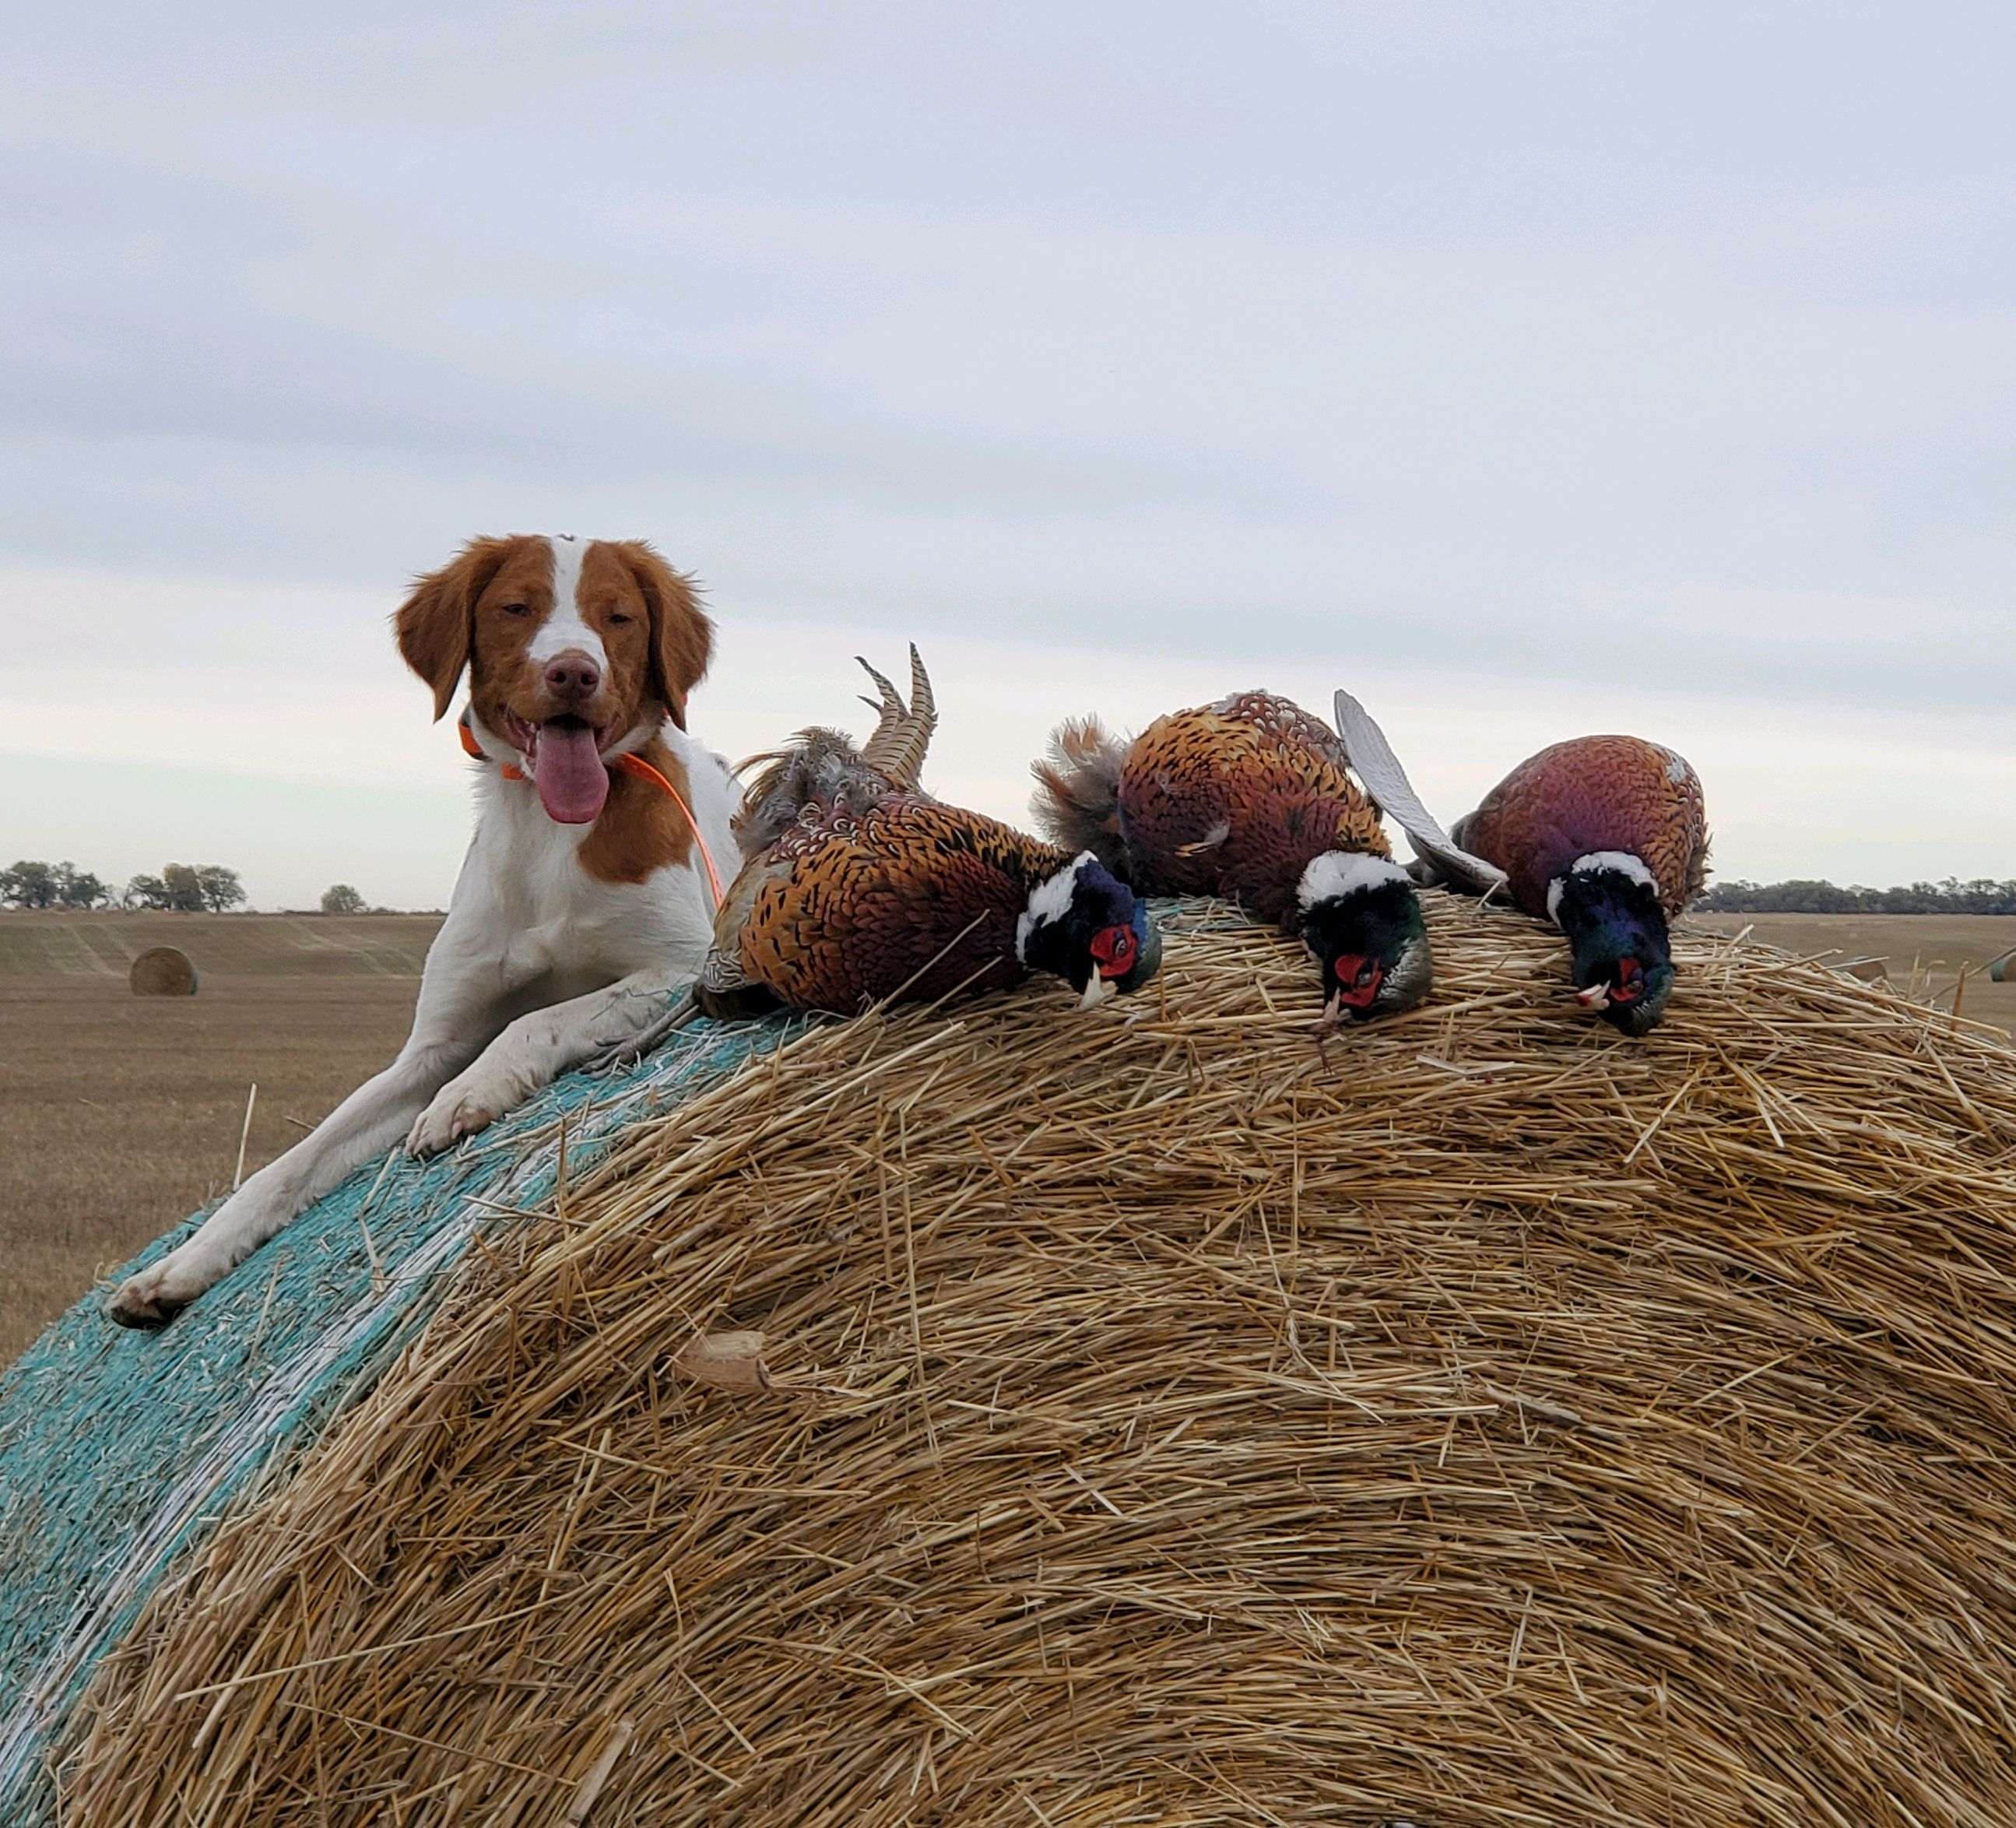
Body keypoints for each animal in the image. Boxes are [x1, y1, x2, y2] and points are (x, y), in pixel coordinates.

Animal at [110, 532, 742, 1330]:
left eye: (619, 616)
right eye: (517, 608)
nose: (574, 672)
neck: (547, 836)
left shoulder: (683, 966)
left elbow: (536, 1020)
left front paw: (465, 1097)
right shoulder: (430, 1047)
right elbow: (291, 1164)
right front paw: (179, 1266)